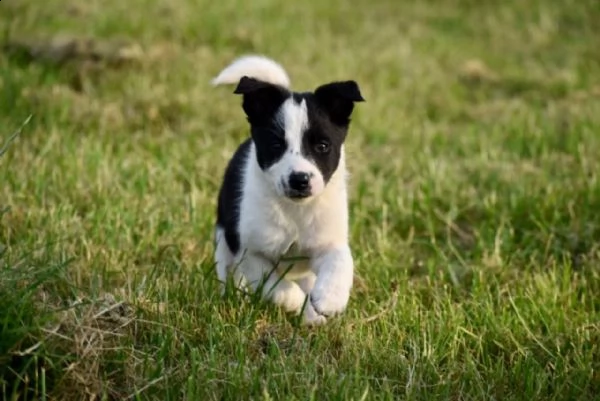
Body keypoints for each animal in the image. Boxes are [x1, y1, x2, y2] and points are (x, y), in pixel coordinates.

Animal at [211, 54, 364, 324]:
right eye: (276, 145)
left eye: (323, 146)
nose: (299, 179)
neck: (296, 210)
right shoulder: (251, 254)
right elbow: (279, 288)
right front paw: (301, 305)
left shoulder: (328, 241)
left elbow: (341, 262)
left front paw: (329, 300)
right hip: (224, 239)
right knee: (227, 270)